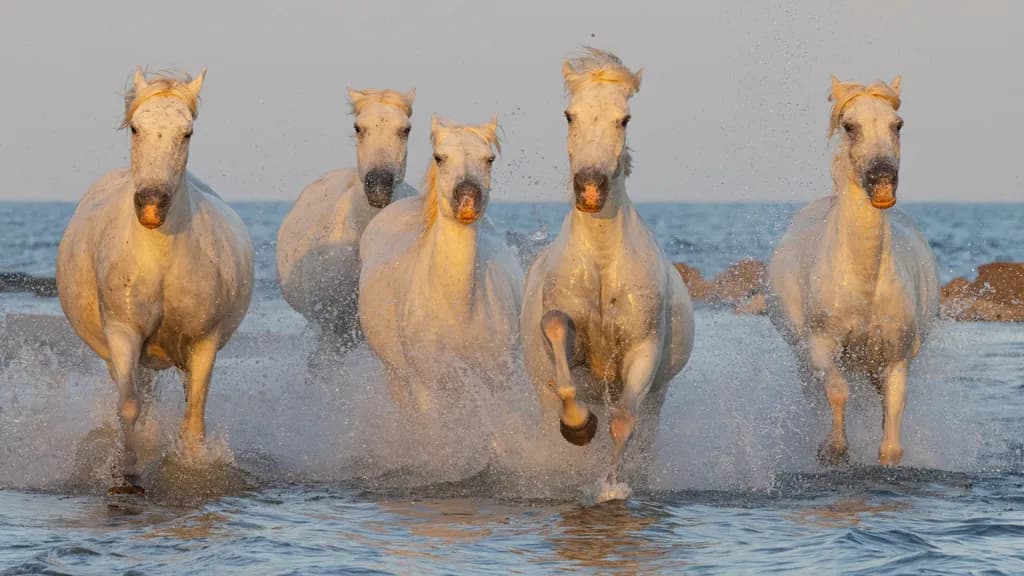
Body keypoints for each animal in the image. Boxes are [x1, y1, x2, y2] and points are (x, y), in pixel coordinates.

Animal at [56, 68, 254, 493]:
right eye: (135, 127)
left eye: (188, 132)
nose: (150, 205)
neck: (160, 258)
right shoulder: (123, 332)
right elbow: (129, 406)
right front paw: (127, 473)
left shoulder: (204, 342)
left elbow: (194, 417)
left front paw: (192, 470)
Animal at [358, 115, 523, 412]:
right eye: (440, 157)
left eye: (489, 158)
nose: (468, 197)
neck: (458, 309)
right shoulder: (428, 389)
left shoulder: (497, 382)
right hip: (396, 376)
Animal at [520, 49, 694, 495]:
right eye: (569, 115)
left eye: (624, 118)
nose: (590, 187)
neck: (601, 262)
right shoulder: (569, 347)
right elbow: (557, 332)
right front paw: (579, 425)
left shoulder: (643, 350)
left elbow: (622, 423)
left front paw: (610, 488)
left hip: (657, 397)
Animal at [766, 76, 939, 466]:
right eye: (849, 126)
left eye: (897, 124)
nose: (882, 181)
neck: (864, 283)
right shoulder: (821, 345)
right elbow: (836, 390)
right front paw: (833, 449)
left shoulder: (896, 358)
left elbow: (892, 431)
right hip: (803, 357)